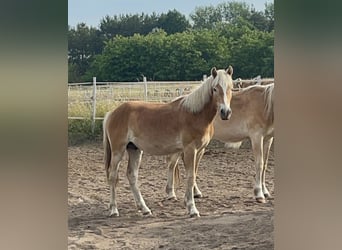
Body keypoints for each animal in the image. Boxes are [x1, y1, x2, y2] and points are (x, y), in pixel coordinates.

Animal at [103, 66, 234, 217]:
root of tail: (112, 113)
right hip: (118, 151)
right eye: (215, 89)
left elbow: (193, 175)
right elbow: (190, 177)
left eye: (231, 88)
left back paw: (144, 208)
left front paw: (188, 202)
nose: (225, 112)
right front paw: (192, 209)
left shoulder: (200, 150)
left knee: (132, 175)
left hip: (134, 149)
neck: (195, 114)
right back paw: (114, 209)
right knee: (113, 176)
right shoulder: (190, 150)